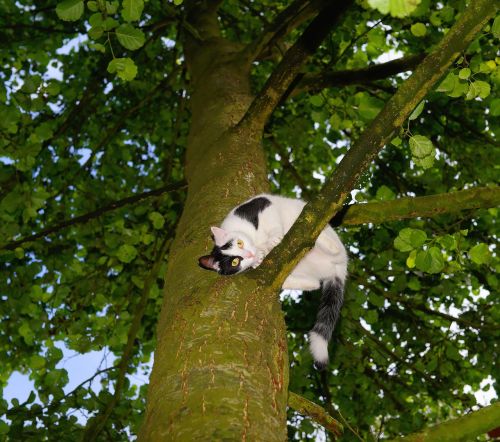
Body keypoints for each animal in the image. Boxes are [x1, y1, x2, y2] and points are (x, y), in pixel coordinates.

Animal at [196, 193, 348, 370]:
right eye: (234, 262)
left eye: (240, 243)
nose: (249, 255)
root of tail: (339, 269)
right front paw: (258, 259)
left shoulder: (263, 205)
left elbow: (272, 223)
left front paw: (273, 239)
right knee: (314, 283)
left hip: (327, 239)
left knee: (329, 246)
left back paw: (322, 240)